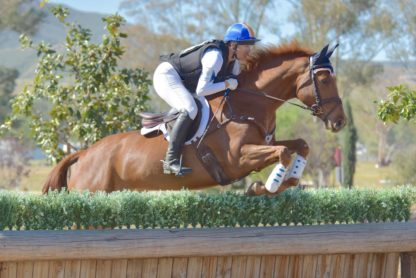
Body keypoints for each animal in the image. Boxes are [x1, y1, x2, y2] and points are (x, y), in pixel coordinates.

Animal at [43, 42, 348, 197]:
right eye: (324, 78)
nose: (340, 122)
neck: (249, 102)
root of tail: (83, 154)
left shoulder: (264, 143)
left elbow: (300, 145)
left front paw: (287, 180)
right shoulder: (237, 159)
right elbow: (283, 152)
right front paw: (265, 186)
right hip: (90, 192)